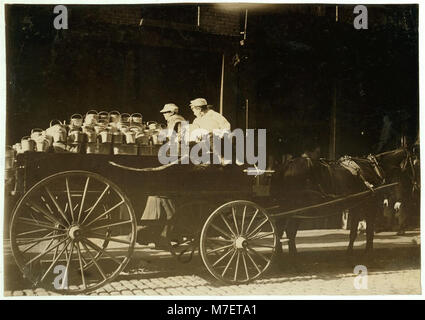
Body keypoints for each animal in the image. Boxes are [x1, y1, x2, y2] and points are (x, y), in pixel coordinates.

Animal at [270, 148, 412, 258]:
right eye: (412, 164)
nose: (410, 189)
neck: (374, 168)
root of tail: (285, 166)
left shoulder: (356, 206)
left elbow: (353, 231)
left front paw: (349, 252)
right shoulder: (369, 205)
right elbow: (369, 231)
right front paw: (368, 252)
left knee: (281, 230)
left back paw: (283, 254)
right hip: (297, 207)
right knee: (287, 231)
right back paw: (289, 256)